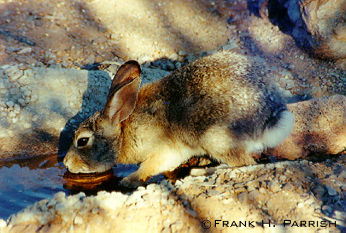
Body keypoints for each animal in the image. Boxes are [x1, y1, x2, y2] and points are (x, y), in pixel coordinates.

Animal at [63, 51, 294, 187]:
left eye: (82, 141)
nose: (66, 162)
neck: (123, 133)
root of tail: (269, 117)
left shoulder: (165, 150)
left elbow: (149, 167)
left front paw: (129, 180)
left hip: (216, 138)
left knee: (244, 164)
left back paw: (199, 171)